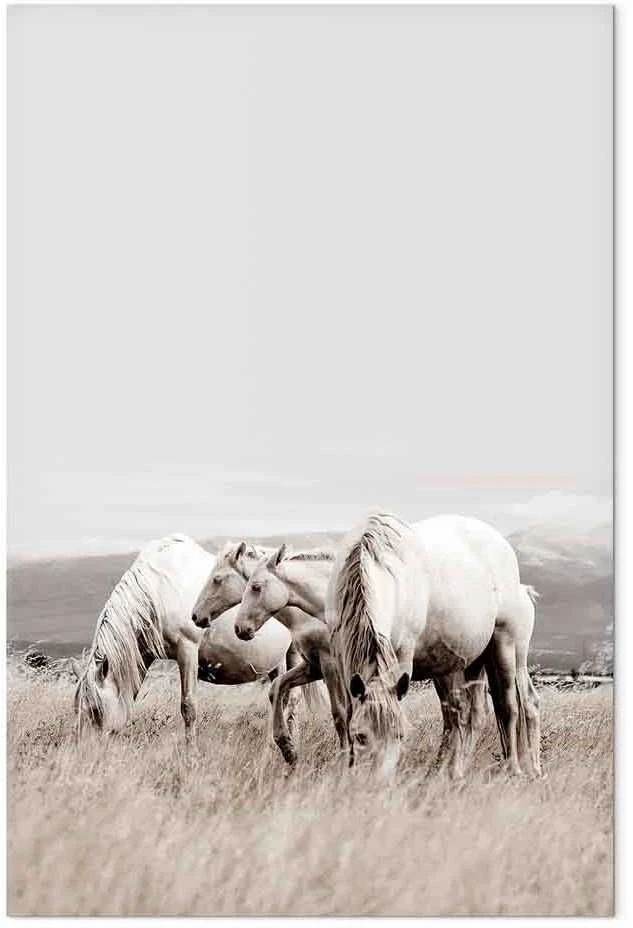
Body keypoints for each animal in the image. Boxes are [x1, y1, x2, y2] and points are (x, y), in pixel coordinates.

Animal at [74, 534, 296, 748]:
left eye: (95, 710)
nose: (86, 751)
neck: (159, 589)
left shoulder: (187, 650)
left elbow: (188, 707)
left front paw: (191, 754)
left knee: (288, 699)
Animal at [327, 512, 541, 782]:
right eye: (361, 736)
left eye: (400, 735)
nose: (379, 782)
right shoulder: (339, 659)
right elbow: (345, 714)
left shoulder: (403, 657)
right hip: (473, 663)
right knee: (472, 715)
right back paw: (455, 771)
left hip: (507, 648)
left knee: (511, 706)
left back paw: (517, 768)